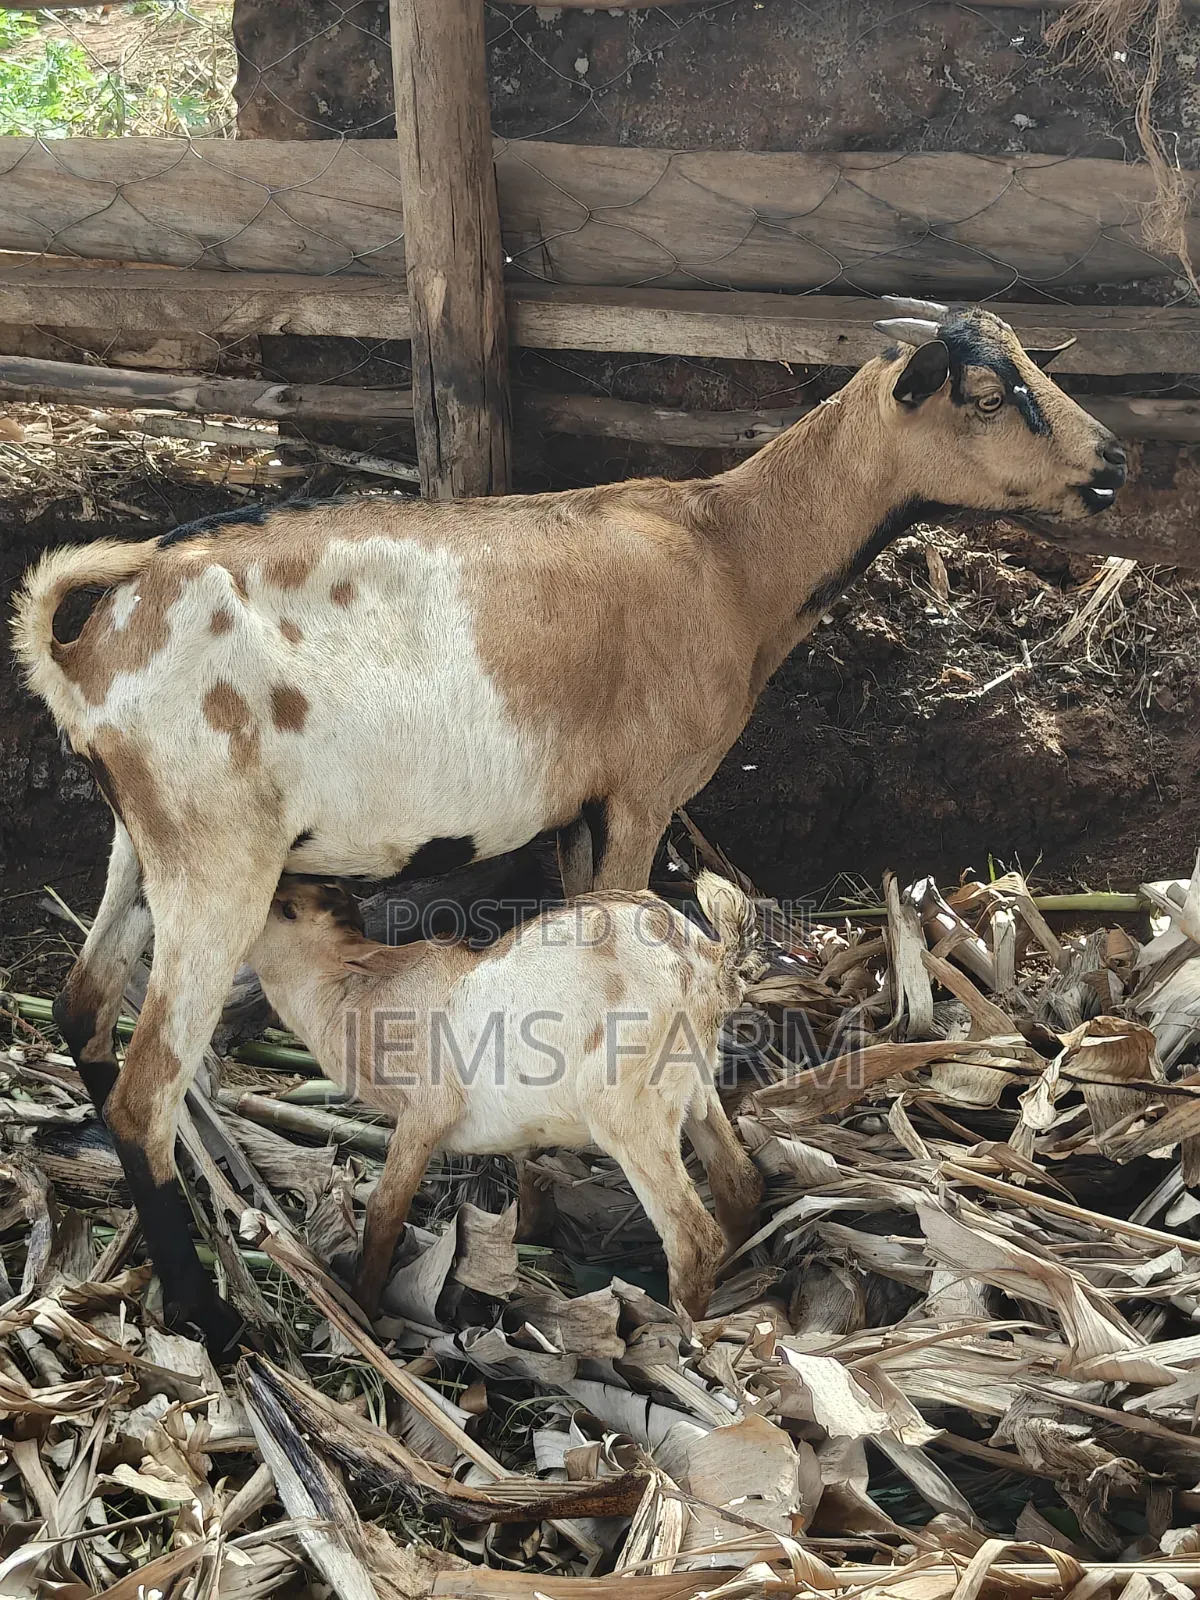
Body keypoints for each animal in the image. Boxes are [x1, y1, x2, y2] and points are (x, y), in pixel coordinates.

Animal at [246, 871, 768, 1319]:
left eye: (288, 910)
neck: (356, 996)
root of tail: (709, 960)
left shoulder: (425, 1112)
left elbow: (386, 1207)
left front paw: (365, 1307)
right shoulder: (523, 1127)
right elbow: (530, 1186)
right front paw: (520, 1239)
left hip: (627, 1110)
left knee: (692, 1238)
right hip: (693, 1086)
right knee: (740, 1183)